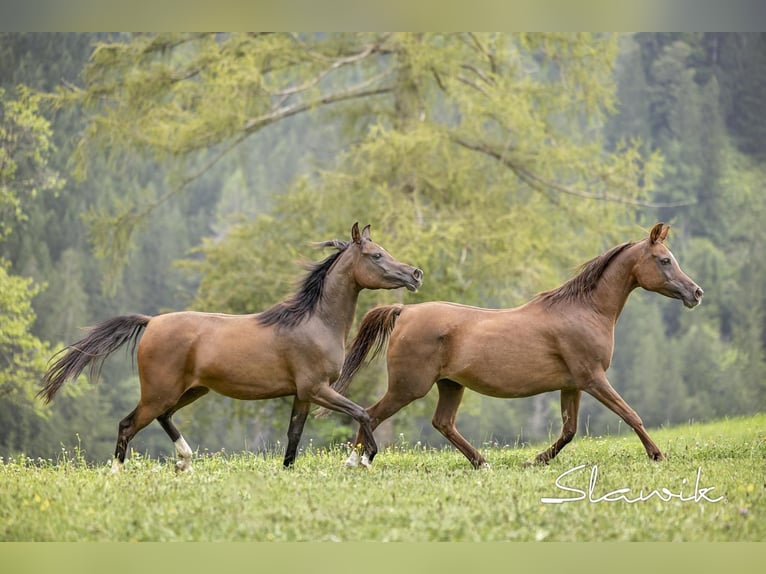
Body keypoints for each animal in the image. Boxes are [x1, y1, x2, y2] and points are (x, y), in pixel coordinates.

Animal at [39, 223, 423, 472]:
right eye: (376, 255)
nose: (415, 274)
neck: (315, 322)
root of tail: (151, 322)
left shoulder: (303, 394)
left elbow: (294, 437)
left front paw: (289, 471)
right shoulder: (317, 389)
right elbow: (363, 413)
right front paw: (363, 459)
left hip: (190, 390)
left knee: (163, 418)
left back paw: (185, 460)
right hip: (159, 392)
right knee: (127, 425)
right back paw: (120, 474)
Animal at [329, 223, 703, 469]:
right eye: (664, 260)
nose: (696, 292)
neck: (585, 310)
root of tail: (404, 310)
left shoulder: (573, 384)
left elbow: (569, 430)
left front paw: (535, 460)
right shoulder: (593, 378)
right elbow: (631, 415)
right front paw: (657, 454)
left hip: (450, 385)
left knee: (442, 423)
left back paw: (482, 462)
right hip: (409, 387)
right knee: (372, 414)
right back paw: (356, 462)